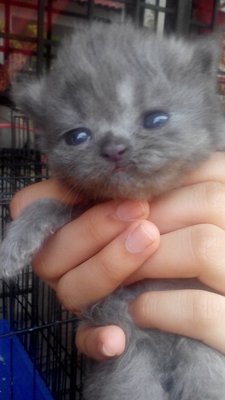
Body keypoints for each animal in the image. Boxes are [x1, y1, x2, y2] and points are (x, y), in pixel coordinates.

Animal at [1, 22, 225, 400]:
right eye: (77, 136)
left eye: (156, 119)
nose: (115, 147)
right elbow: (48, 204)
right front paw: (12, 248)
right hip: (127, 366)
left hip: (202, 356)